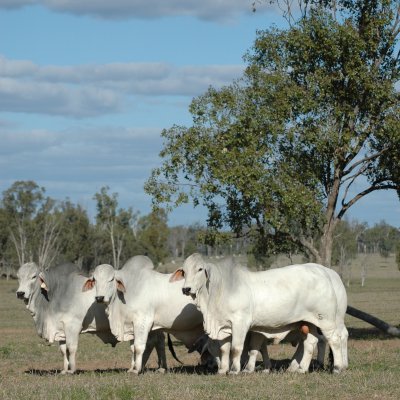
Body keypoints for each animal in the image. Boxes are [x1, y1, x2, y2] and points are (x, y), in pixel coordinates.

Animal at [16, 262, 166, 372]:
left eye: (33, 276)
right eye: (18, 277)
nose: (20, 293)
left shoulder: (72, 326)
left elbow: (71, 348)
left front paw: (72, 370)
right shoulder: (61, 329)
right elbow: (63, 350)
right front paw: (64, 370)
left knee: (153, 343)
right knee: (156, 342)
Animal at [171, 255, 346, 374]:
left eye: (200, 269)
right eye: (184, 271)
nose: (186, 289)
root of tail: (324, 272)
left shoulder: (240, 323)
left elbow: (236, 348)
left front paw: (234, 370)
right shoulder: (224, 327)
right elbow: (225, 349)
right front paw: (222, 370)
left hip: (327, 320)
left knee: (335, 339)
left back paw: (338, 367)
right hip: (309, 322)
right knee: (311, 342)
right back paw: (301, 369)